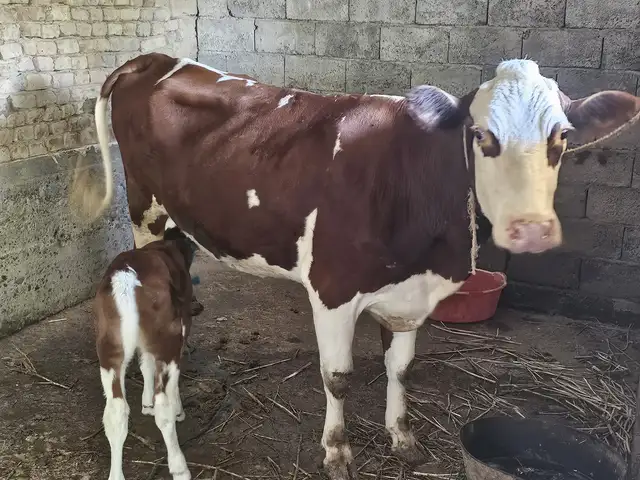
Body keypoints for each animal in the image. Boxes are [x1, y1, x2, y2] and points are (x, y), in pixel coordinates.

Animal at [70, 53, 640, 479]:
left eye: (561, 137)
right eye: (481, 135)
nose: (531, 228)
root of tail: (153, 59)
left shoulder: (412, 295)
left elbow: (401, 369)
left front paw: (402, 438)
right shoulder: (332, 289)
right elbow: (338, 377)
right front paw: (337, 452)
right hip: (144, 210)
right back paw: (156, 400)